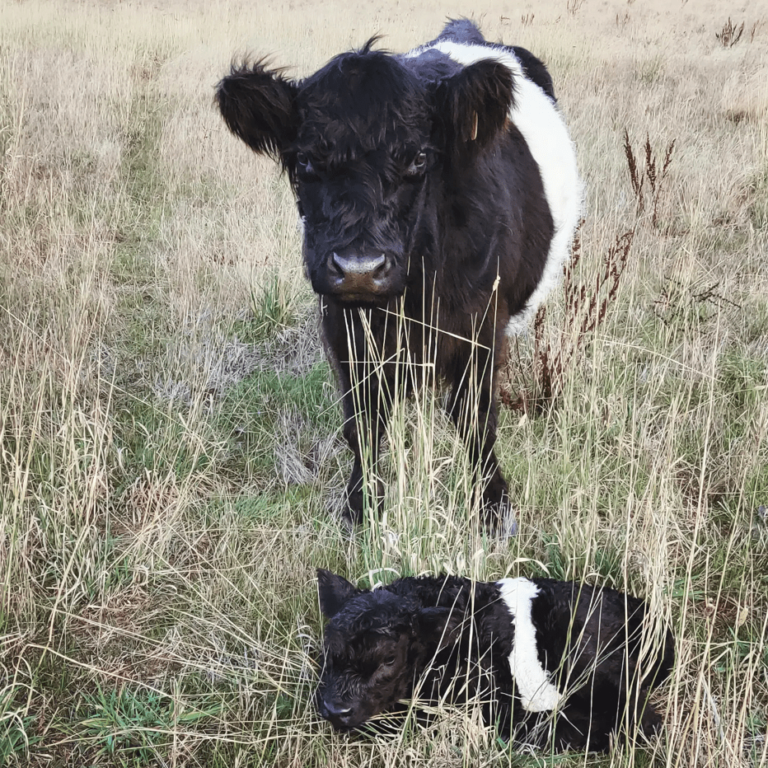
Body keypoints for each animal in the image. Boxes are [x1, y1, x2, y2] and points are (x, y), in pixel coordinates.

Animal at [216, 21, 584, 532]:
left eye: (418, 159)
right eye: (305, 161)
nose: (359, 269)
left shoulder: (481, 325)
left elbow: (475, 417)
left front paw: (493, 507)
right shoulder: (343, 327)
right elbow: (363, 421)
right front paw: (361, 506)